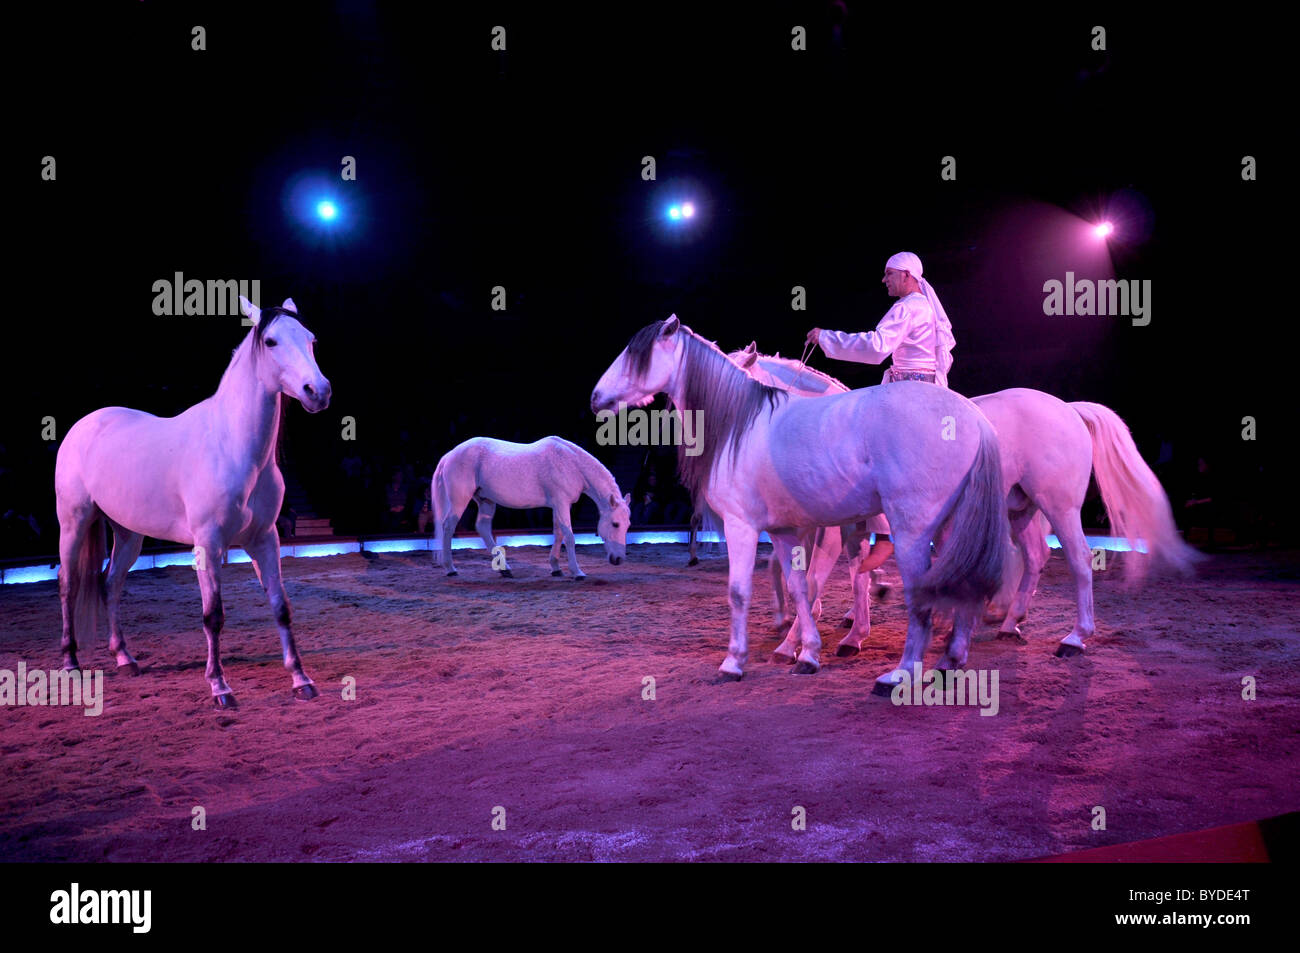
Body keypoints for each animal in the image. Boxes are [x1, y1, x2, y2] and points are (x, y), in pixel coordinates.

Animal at [55, 297, 331, 709]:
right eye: (270, 341)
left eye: (311, 339)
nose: (318, 391)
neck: (232, 446)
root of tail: (83, 426)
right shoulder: (208, 543)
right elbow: (212, 615)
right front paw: (220, 686)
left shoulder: (265, 540)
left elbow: (281, 608)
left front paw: (301, 680)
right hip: (74, 523)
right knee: (68, 584)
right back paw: (71, 661)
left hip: (128, 534)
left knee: (111, 584)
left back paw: (125, 658)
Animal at [432, 436, 632, 578]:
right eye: (615, 524)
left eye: (627, 525)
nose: (618, 559)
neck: (571, 464)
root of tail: (450, 454)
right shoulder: (562, 503)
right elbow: (569, 537)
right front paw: (577, 572)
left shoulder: (558, 506)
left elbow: (558, 534)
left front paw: (556, 568)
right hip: (460, 501)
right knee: (448, 527)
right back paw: (450, 568)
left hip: (486, 500)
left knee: (482, 528)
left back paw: (505, 569)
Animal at [592, 315, 1013, 691]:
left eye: (636, 355)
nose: (596, 398)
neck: (741, 424)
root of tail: (973, 417)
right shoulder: (784, 531)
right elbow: (798, 587)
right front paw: (806, 654)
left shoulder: (743, 525)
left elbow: (741, 591)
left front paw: (734, 662)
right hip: (952, 528)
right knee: (961, 583)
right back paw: (950, 658)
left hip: (913, 532)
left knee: (922, 597)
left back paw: (902, 673)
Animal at [732, 345, 1200, 659]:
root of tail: (1068, 408)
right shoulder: (829, 525)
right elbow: (832, 574)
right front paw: (847, 632)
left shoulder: (834, 527)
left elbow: (814, 580)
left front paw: (797, 643)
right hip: (1020, 509)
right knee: (1033, 557)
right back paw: (1009, 622)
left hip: (1059, 506)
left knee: (1080, 559)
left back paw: (1074, 637)